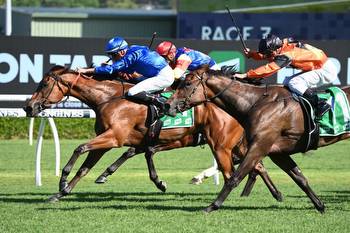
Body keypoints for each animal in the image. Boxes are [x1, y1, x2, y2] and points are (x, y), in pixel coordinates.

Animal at [23, 65, 282, 202]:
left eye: (44, 84)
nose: (28, 107)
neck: (109, 97)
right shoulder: (110, 141)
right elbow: (86, 167)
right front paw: (61, 192)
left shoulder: (114, 137)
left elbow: (80, 148)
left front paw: (63, 180)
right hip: (233, 143)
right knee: (257, 165)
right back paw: (275, 194)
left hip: (222, 143)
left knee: (244, 166)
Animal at [167, 66, 350, 214]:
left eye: (187, 84)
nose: (168, 105)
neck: (256, 103)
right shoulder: (277, 152)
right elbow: (300, 178)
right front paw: (320, 205)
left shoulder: (259, 146)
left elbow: (234, 177)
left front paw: (212, 206)